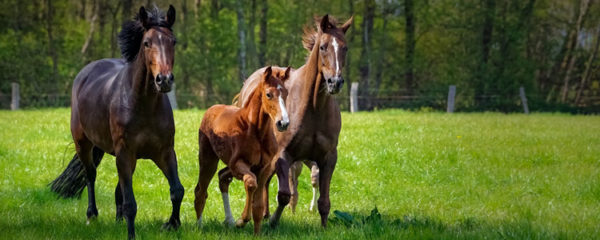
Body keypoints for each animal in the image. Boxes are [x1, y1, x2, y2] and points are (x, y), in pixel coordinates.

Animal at [49, 5, 183, 238]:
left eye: (172, 41)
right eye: (146, 43)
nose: (164, 80)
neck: (143, 105)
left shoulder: (164, 152)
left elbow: (177, 190)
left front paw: (172, 225)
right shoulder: (124, 153)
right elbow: (131, 203)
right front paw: (132, 235)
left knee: (118, 188)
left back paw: (118, 220)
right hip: (84, 144)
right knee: (90, 175)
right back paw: (92, 215)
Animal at [195, 66, 290, 234]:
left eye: (286, 93)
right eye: (268, 94)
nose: (283, 123)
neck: (256, 131)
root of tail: (212, 108)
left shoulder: (264, 168)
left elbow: (258, 205)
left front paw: (257, 233)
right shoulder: (238, 164)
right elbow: (251, 183)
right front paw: (242, 220)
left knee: (222, 178)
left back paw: (228, 220)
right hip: (208, 160)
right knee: (201, 190)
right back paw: (200, 226)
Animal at [230, 15, 352, 227]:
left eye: (345, 48)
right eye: (323, 47)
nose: (335, 82)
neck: (313, 108)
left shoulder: (328, 157)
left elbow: (324, 200)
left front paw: (324, 227)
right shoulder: (283, 155)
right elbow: (284, 195)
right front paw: (273, 223)